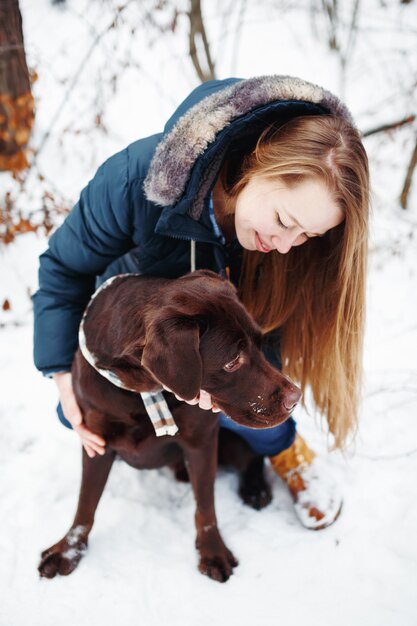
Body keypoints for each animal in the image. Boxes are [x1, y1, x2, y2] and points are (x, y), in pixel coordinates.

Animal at [39, 268, 300, 580]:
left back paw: (255, 488)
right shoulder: (96, 442)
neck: (141, 390)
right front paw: (67, 550)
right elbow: (85, 504)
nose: (295, 398)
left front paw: (213, 552)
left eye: (260, 344)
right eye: (233, 362)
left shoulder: (202, 440)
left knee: (252, 455)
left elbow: (206, 505)